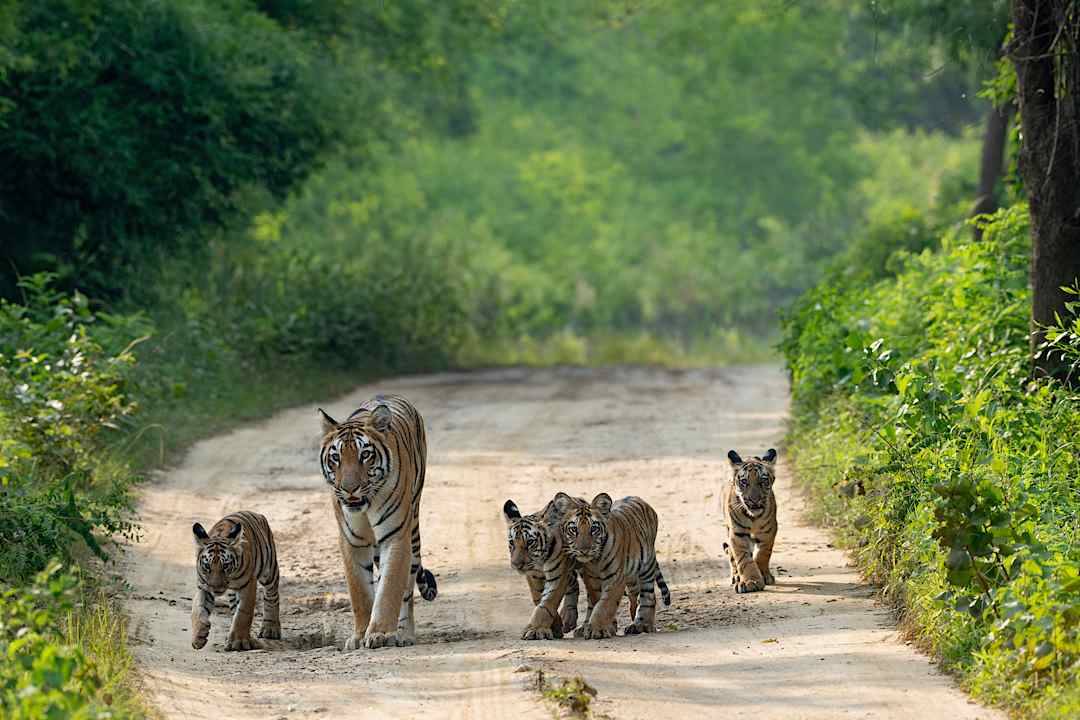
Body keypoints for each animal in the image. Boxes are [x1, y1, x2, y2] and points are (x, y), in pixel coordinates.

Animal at [190, 510, 281, 651]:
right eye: (207, 566)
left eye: (225, 566)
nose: (216, 588)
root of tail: (256, 513)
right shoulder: (203, 586)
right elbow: (197, 610)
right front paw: (198, 636)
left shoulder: (248, 584)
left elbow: (243, 613)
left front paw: (238, 642)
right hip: (234, 592)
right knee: (234, 606)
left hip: (269, 570)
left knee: (272, 596)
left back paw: (270, 629)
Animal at [318, 395, 437, 650]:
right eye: (336, 457)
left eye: (365, 455)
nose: (349, 488)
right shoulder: (352, 542)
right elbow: (360, 592)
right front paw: (359, 635)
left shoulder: (396, 537)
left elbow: (390, 587)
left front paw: (380, 633)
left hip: (412, 532)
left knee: (406, 590)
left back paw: (404, 634)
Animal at [503, 498, 585, 640]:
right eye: (512, 543)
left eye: (530, 542)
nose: (516, 564)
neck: (539, 561)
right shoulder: (533, 576)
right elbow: (539, 599)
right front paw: (555, 627)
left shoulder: (557, 575)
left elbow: (547, 603)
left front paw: (536, 630)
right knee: (573, 582)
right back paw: (568, 617)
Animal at [553, 492, 671, 639]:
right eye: (574, 529)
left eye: (594, 529)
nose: (584, 550)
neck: (595, 561)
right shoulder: (591, 579)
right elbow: (597, 602)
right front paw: (604, 627)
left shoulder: (615, 578)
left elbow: (605, 604)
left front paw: (597, 629)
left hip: (646, 566)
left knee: (647, 596)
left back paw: (641, 625)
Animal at [722, 448, 778, 594]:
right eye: (744, 482)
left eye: (763, 481)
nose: (754, 500)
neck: (753, 517)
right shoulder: (737, 534)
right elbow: (744, 560)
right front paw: (751, 581)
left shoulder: (769, 531)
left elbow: (763, 554)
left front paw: (764, 576)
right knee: (732, 557)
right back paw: (736, 576)